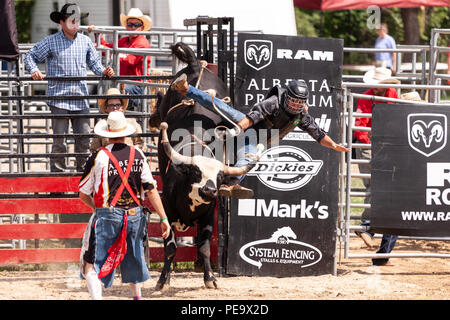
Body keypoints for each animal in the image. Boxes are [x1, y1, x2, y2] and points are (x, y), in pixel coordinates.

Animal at [152, 42, 253, 290]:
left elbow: (205, 248)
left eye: (219, 178)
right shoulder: (167, 213)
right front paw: (163, 280)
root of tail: (196, 65)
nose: (209, 190)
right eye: (195, 172)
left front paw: (211, 278)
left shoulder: (208, 217)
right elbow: (170, 248)